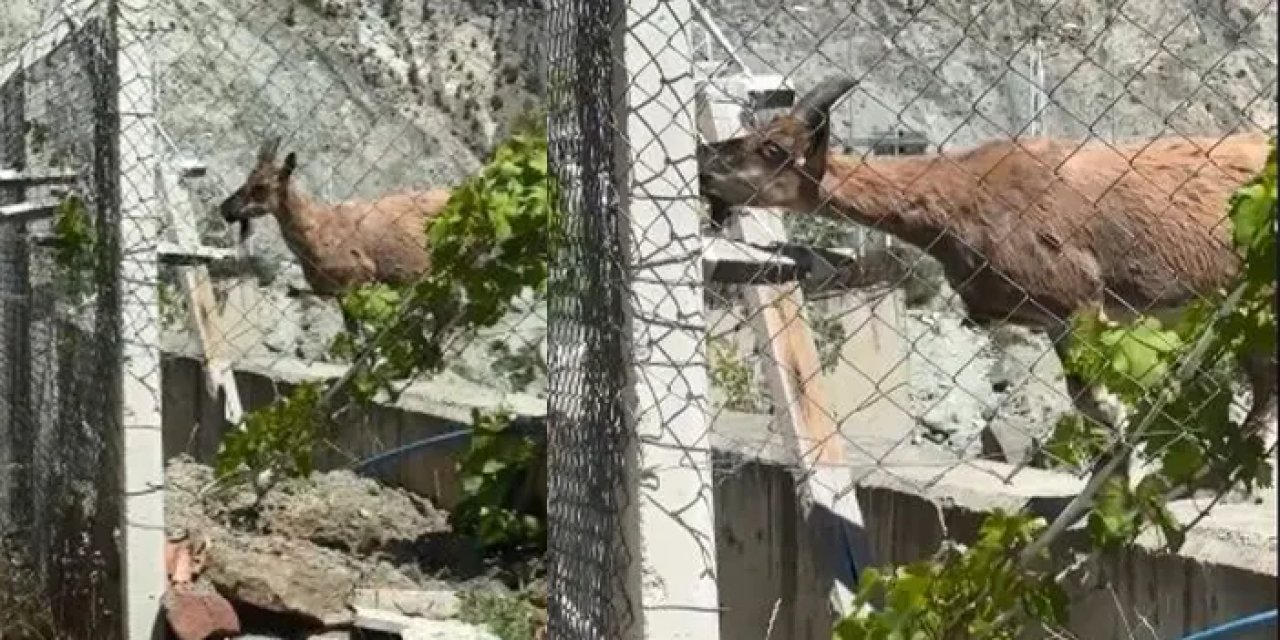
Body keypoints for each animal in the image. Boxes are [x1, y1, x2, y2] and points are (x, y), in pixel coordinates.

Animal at [701, 76, 1280, 483]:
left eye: (774, 149)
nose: (705, 169)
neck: (963, 197)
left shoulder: (1077, 299)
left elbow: (1093, 398)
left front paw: (1116, 468)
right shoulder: (1051, 318)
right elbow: (1083, 398)